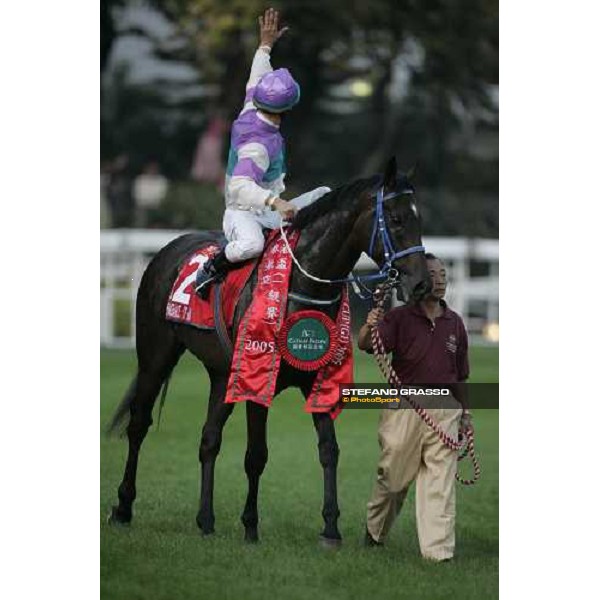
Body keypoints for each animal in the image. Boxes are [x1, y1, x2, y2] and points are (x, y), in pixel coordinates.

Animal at [108, 157, 432, 548]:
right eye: (396, 220)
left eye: (419, 219)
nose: (421, 284)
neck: (301, 284)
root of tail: (167, 250)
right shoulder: (257, 379)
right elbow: (256, 455)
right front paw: (250, 525)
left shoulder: (316, 380)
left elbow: (329, 450)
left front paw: (331, 527)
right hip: (155, 356)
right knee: (139, 424)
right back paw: (123, 507)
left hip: (222, 375)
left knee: (208, 439)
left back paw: (205, 519)